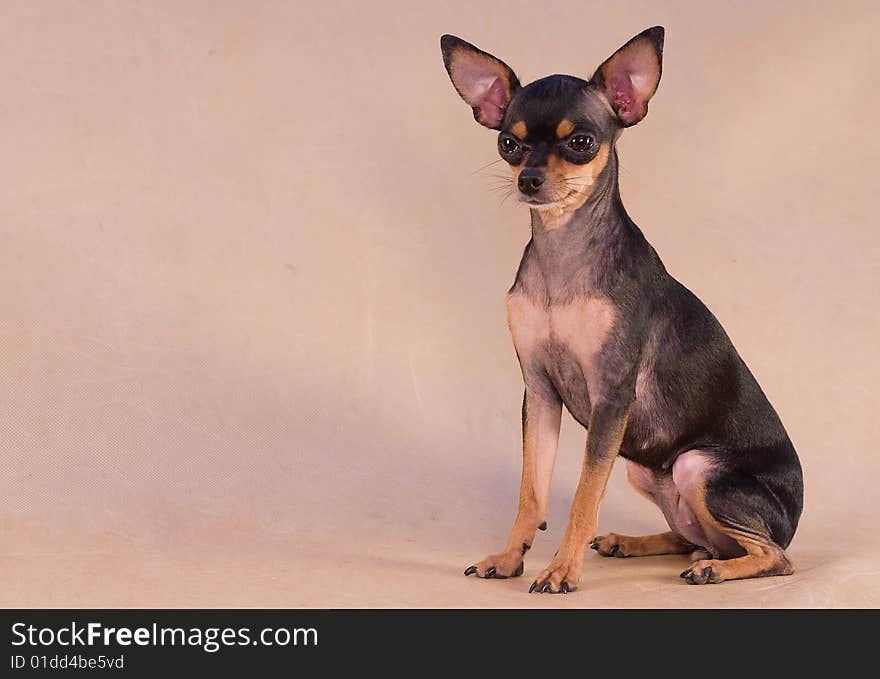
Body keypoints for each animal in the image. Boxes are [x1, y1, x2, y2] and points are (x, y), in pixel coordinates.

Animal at [440, 23, 804, 592]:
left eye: (581, 143)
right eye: (508, 143)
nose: (529, 179)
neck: (563, 256)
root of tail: (795, 518)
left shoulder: (611, 400)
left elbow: (584, 496)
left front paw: (561, 570)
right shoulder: (539, 393)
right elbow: (531, 494)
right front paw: (509, 557)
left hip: (698, 467)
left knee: (774, 556)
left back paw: (715, 570)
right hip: (645, 467)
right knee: (693, 537)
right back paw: (633, 543)